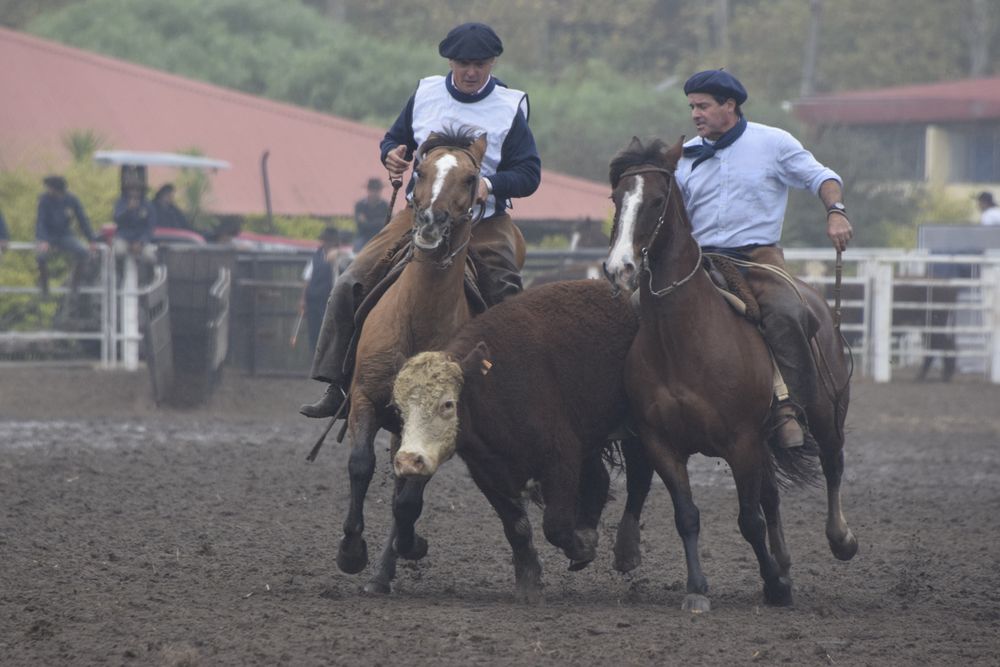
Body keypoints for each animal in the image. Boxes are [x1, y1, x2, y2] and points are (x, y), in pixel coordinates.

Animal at [336, 130, 524, 594]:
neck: (416, 318)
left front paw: (409, 545)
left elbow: (409, 495)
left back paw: (389, 566)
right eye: (419, 169)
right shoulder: (365, 397)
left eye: (472, 178)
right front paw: (350, 551)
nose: (430, 223)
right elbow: (360, 466)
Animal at [602, 137, 857, 611]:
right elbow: (688, 515)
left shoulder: (741, 440)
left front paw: (774, 585)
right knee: (773, 495)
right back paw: (784, 563)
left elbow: (748, 520)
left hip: (826, 414)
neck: (682, 339)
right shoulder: (663, 443)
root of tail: (819, 306)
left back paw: (840, 540)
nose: (619, 268)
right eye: (616, 198)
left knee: (833, 465)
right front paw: (697, 589)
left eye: (657, 200)